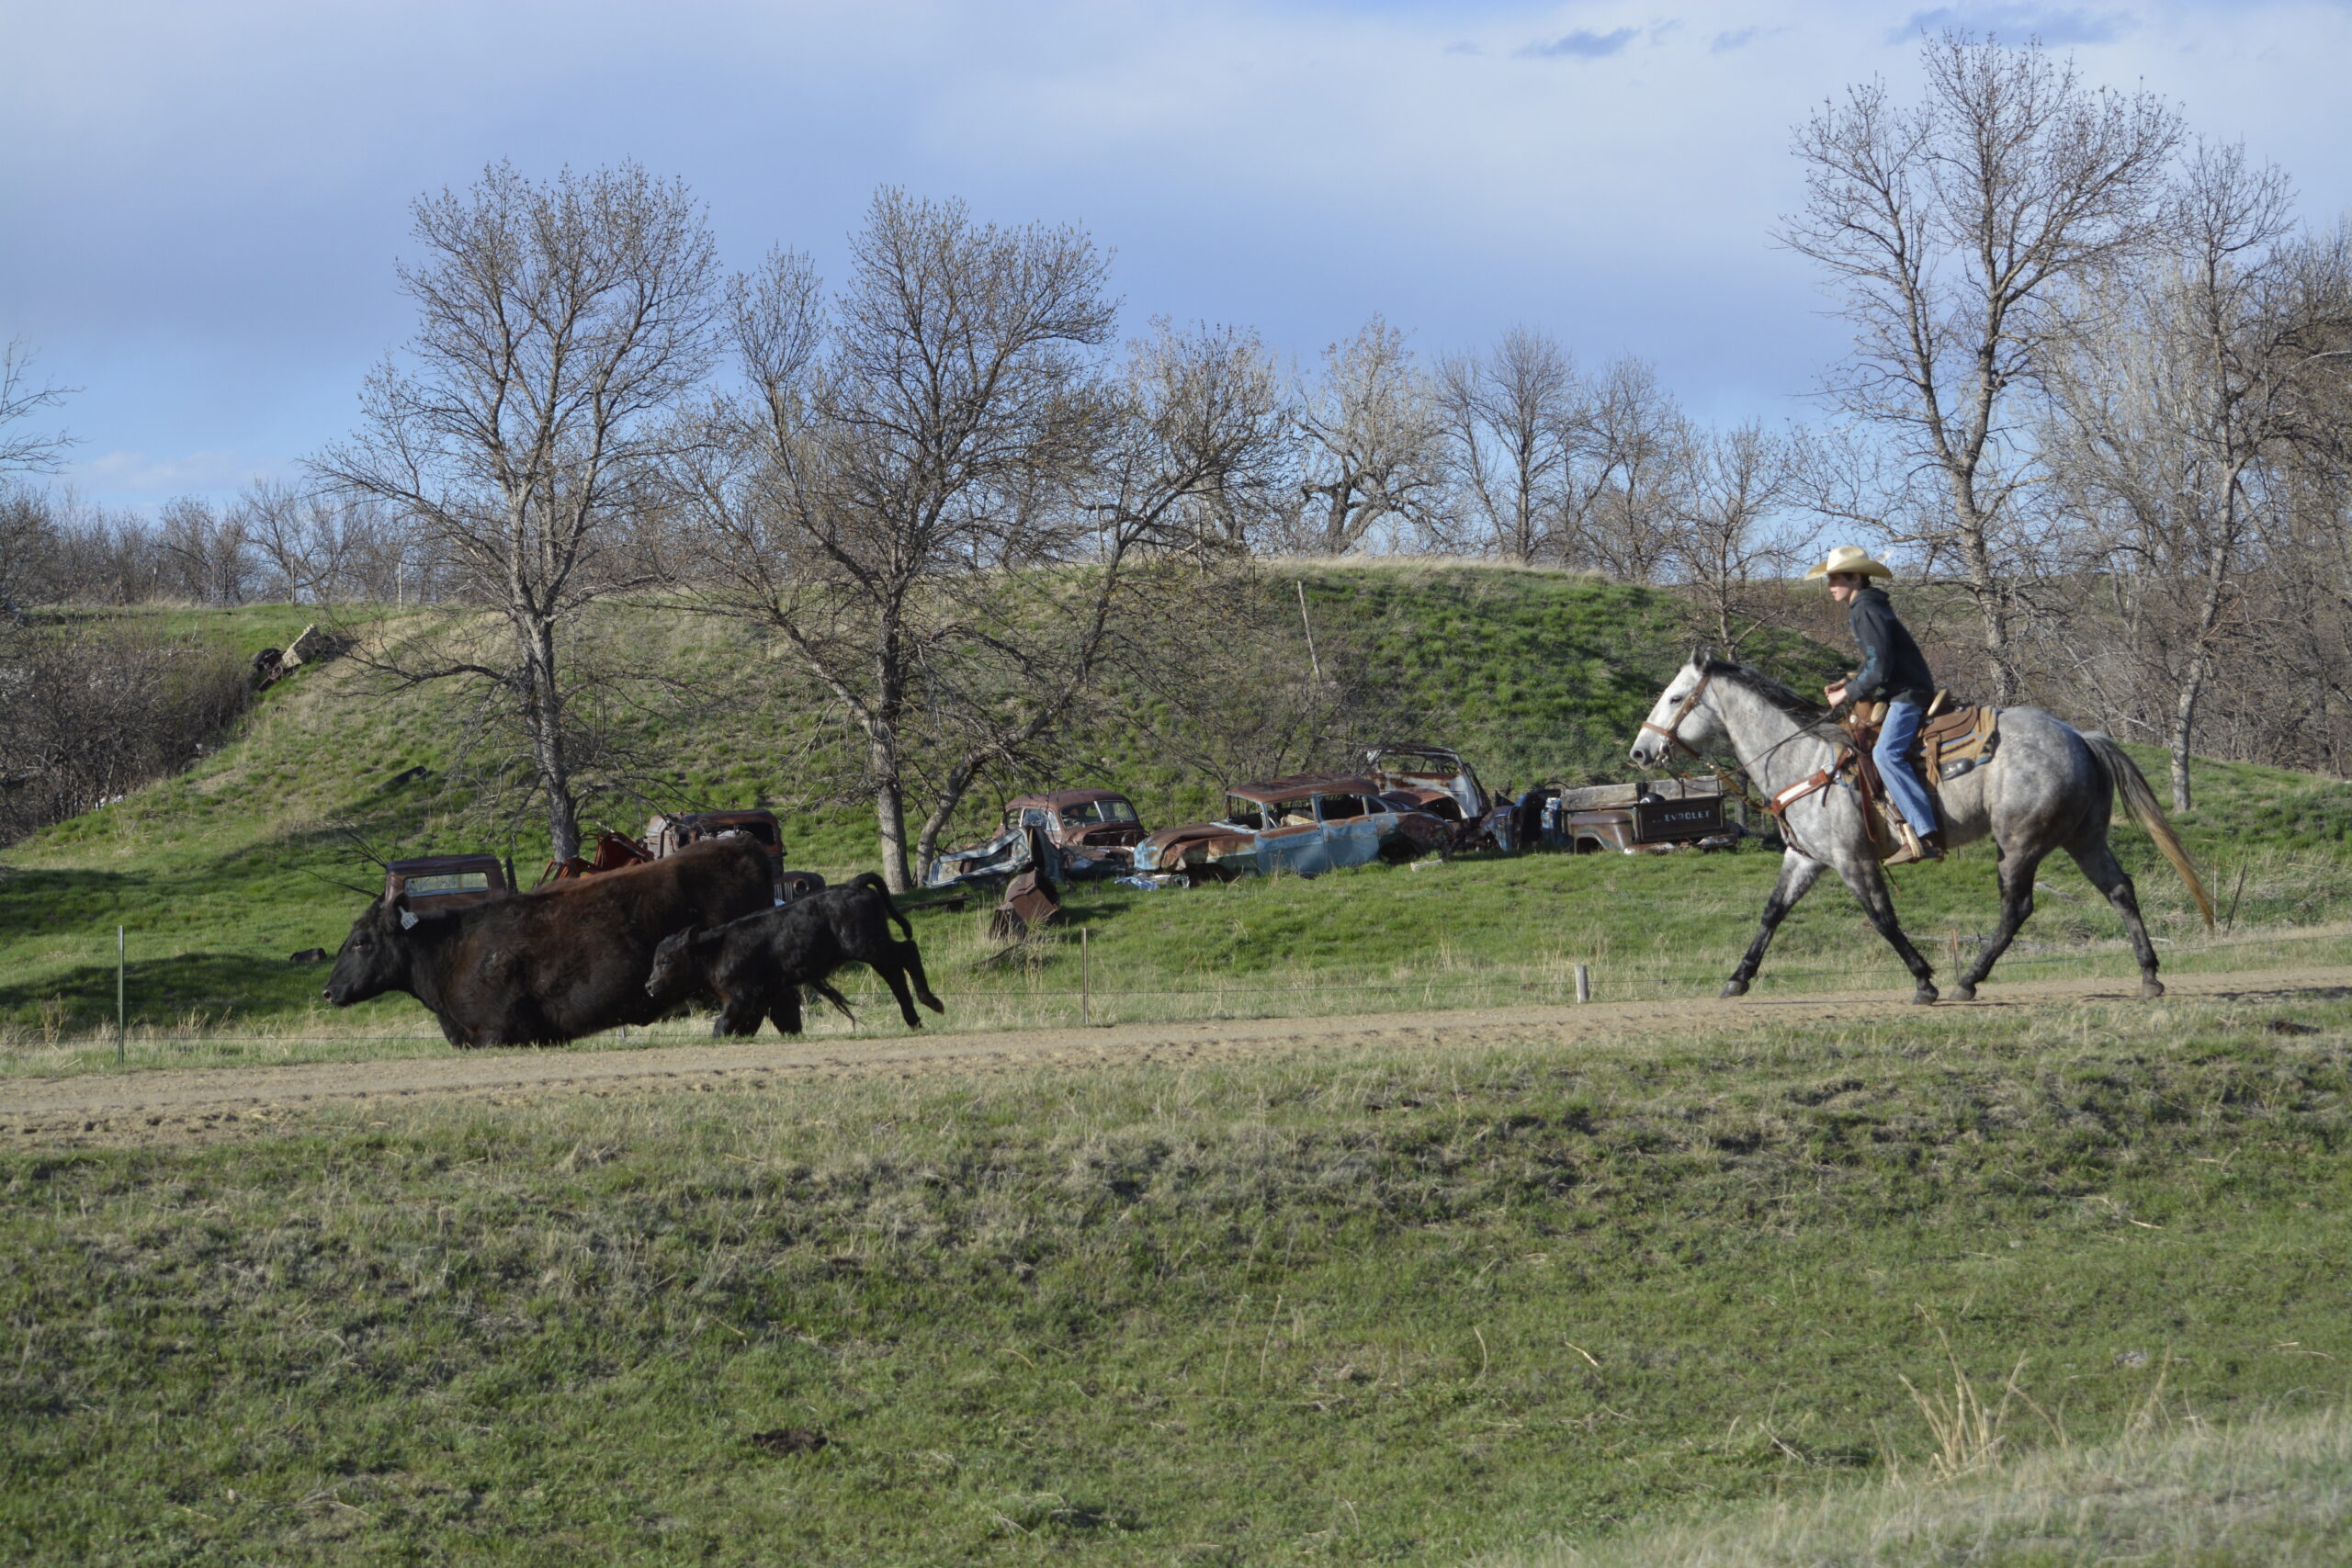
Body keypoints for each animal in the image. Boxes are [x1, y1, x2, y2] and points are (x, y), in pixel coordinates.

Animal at [1629, 657, 2215, 1004]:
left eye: (1676, 698)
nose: (1640, 751)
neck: (1806, 758)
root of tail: (2080, 736)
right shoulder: (1807, 859)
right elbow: (1772, 913)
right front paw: (1738, 977)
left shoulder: (1853, 861)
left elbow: (1883, 920)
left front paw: (1924, 979)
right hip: (2084, 839)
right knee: (2120, 890)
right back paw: (2149, 975)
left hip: (2019, 844)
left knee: (2017, 909)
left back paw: (1967, 981)